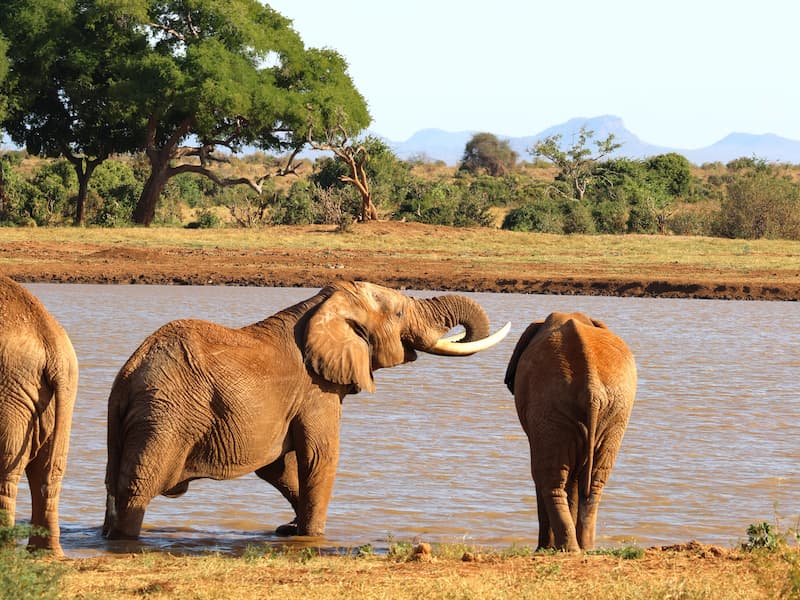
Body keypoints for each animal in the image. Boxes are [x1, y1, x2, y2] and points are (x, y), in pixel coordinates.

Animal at [103, 282, 510, 540]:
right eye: (398, 313)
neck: (323, 305)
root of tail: (126, 378)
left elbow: (279, 467)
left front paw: (290, 530)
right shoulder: (316, 390)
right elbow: (319, 456)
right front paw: (312, 537)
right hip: (164, 418)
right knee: (136, 491)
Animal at [506, 312, 636, 552]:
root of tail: (592, 391)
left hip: (551, 407)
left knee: (548, 476)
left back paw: (560, 549)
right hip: (615, 410)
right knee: (594, 480)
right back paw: (584, 548)